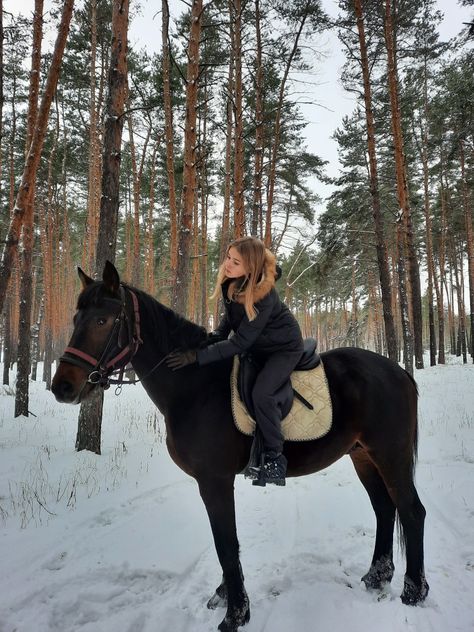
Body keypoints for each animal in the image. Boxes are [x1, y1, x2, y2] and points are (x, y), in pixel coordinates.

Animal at [51, 262, 430, 632]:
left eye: (102, 321)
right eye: (76, 318)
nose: (62, 387)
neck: (193, 387)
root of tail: (399, 371)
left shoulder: (214, 480)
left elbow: (226, 544)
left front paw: (235, 613)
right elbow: (226, 544)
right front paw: (226, 597)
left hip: (389, 453)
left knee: (411, 511)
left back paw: (414, 591)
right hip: (363, 455)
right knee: (385, 508)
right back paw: (377, 576)